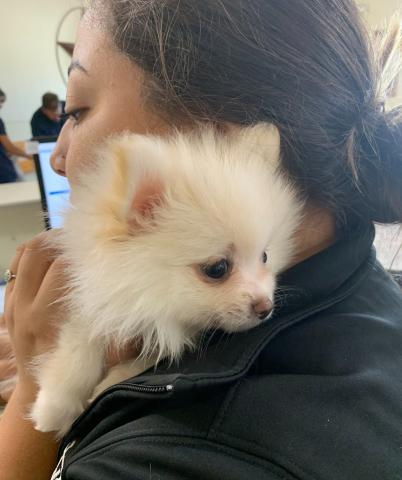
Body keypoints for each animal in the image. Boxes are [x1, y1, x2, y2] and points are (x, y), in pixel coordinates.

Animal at [29, 123, 302, 436]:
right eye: (217, 268)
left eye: (265, 256)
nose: (265, 307)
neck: (152, 302)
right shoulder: (93, 294)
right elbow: (78, 348)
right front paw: (53, 408)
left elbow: (146, 360)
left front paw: (107, 384)